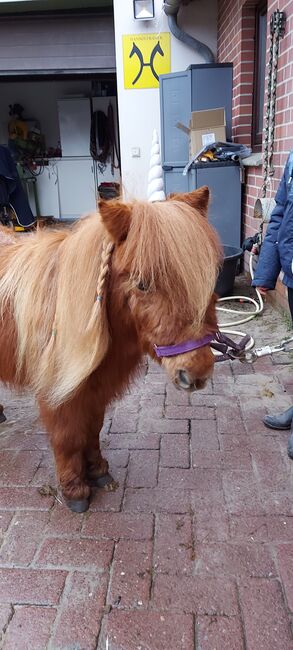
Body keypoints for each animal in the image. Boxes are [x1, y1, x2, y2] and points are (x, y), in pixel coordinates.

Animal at [0, 187, 220, 512]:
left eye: (208, 279)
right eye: (142, 284)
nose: (197, 372)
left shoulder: (96, 389)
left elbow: (92, 429)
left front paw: (98, 472)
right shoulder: (59, 394)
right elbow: (68, 437)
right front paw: (75, 490)